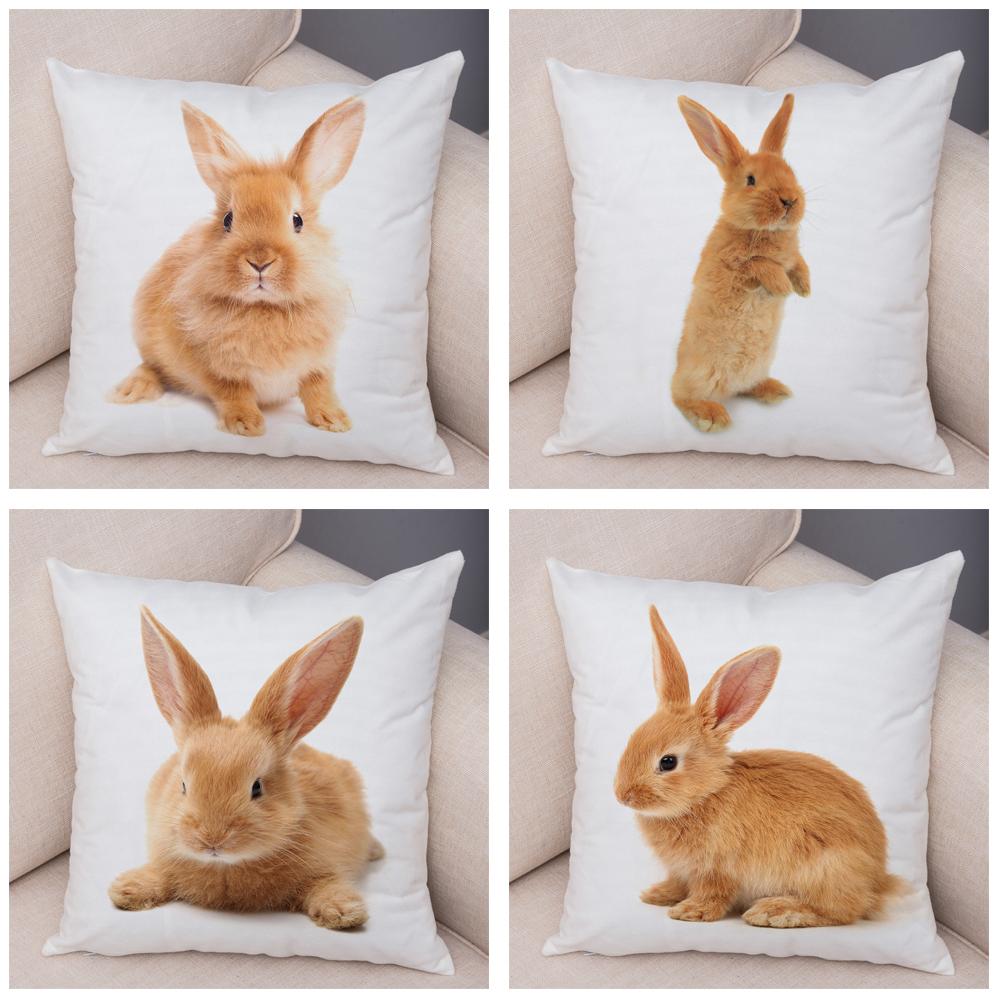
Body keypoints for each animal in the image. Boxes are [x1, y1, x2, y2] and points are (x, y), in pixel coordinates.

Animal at [108, 607, 384, 930]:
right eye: (183, 785)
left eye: (257, 787)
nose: (212, 840)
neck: (225, 867)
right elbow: (159, 873)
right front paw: (127, 890)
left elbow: (326, 884)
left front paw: (344, 912)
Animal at [111, 97, 365, 437]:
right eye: (227, 220)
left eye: (297, 220)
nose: (260, 261)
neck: (264, 308)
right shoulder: (216, 370)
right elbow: (233, 391)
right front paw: (247, 425)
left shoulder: (318, 364)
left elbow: (318, 388)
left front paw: (334, 420)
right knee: (152, 367)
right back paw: (131, 390)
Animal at [614, 607, 906, 928]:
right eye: (632, 739)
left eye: (668, 762)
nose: (622, 795)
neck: (707, 793)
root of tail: (877, 882)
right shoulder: (682, 870)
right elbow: (677, 882)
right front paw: (657, 894)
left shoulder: (717, 868)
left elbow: (713, 894)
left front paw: (690, 911)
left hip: (826, 863)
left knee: (841, 909)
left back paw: (774, 911)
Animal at [671, 93, 810, 433]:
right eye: (751, 180)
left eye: (791, 172)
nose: (790, 200)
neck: (763, 230)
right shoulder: (732, 268)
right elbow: (759, 264)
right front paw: (782, 286)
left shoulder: (792, 255)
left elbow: (798, 262)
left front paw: (804, 287)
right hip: (699, 376)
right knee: (680, 396)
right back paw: (712, 416)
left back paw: (774, 390)